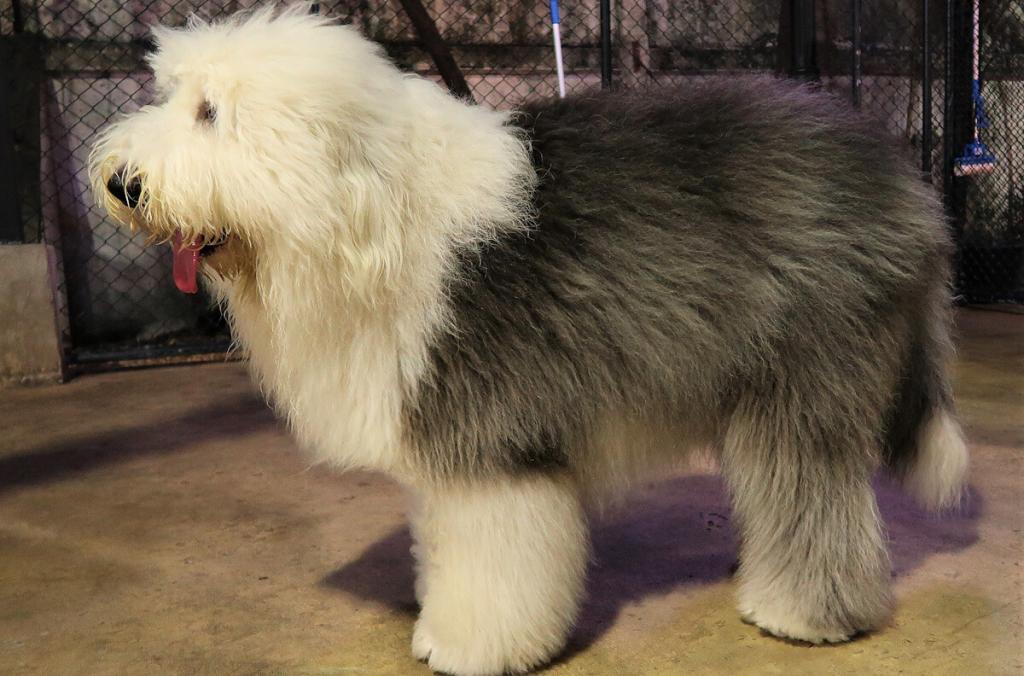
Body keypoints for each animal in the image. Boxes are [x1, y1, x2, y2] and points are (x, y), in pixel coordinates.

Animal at [88, 6, 966, 676]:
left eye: (211, 113)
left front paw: (469, 646)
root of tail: (898, 175)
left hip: (806, 371)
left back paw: (804, 614)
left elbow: (494, 559)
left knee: (815, 489)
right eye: (176, 98)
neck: (370, 214)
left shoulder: (491, 439)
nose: (122, 183)